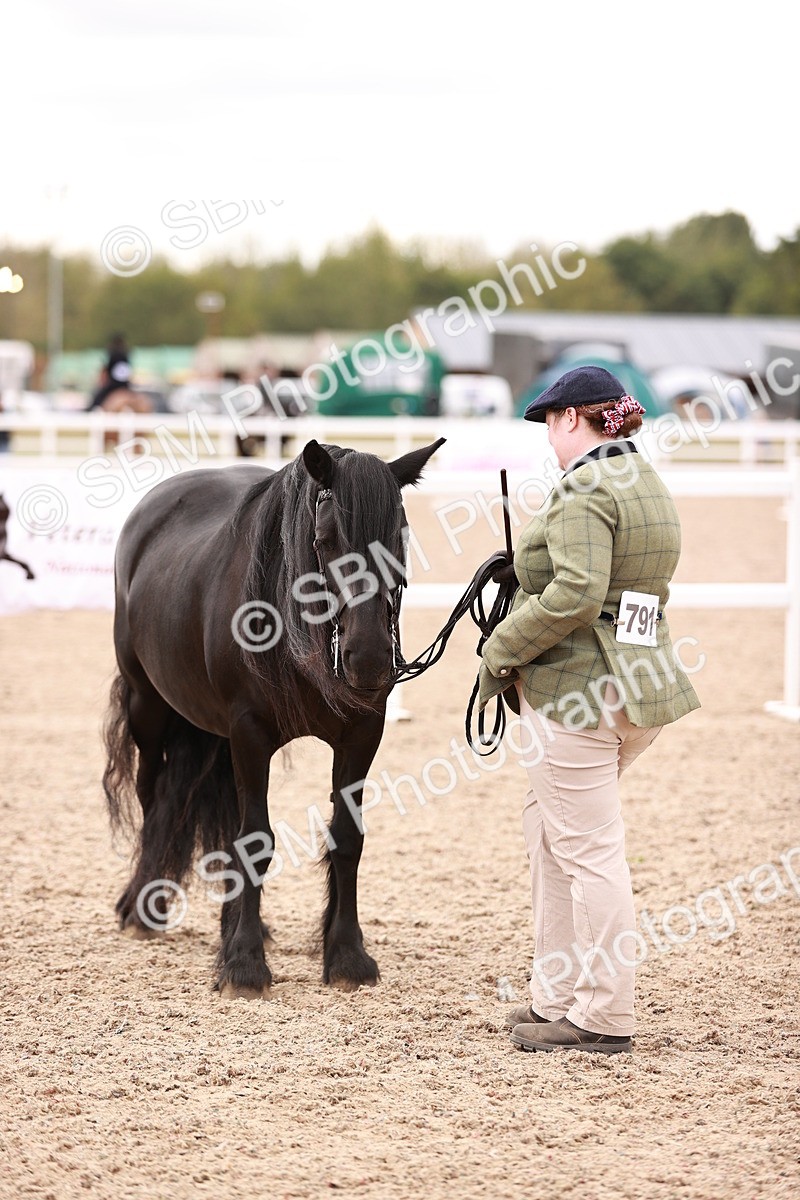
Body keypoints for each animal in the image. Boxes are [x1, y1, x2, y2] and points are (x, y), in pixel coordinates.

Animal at [103, 437, 444, 998]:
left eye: (400, 535)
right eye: (325, 538)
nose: (370, 657)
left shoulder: (361, 734)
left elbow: (346, 837)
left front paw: (346, 955)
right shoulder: (249, 733)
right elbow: (255, 841)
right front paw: (244, 964)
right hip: (147, 708)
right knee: (152, 797)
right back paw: (143, 904)